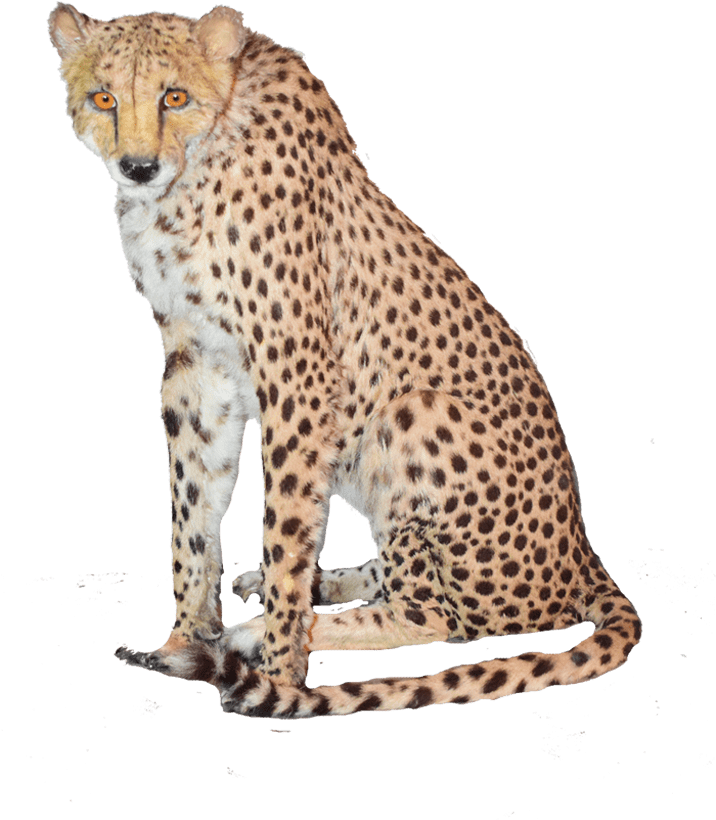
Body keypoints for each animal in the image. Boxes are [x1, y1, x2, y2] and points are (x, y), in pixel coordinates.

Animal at [48, 3, 642, 718]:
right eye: (103, 98)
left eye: (175, 97)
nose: (136, 167)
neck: (191, 170)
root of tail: (585, 555)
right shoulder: (195, 365)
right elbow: (192, 510)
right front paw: (182, 641)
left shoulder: (296, 373)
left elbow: (285, 530)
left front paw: (279, 677)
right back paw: (303, 595)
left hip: (416, 413)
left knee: (437, 616)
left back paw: (260, 634)